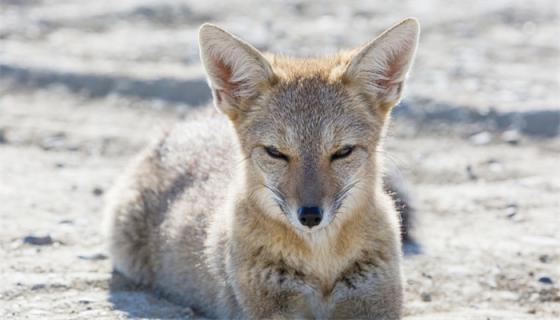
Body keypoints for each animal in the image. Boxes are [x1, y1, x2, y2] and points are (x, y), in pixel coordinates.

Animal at [105, 18, 420, 318]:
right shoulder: (270, 306)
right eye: (275, 152)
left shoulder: (373, 300)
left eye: (342, 152)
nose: (309, 216)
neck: (321, 263)